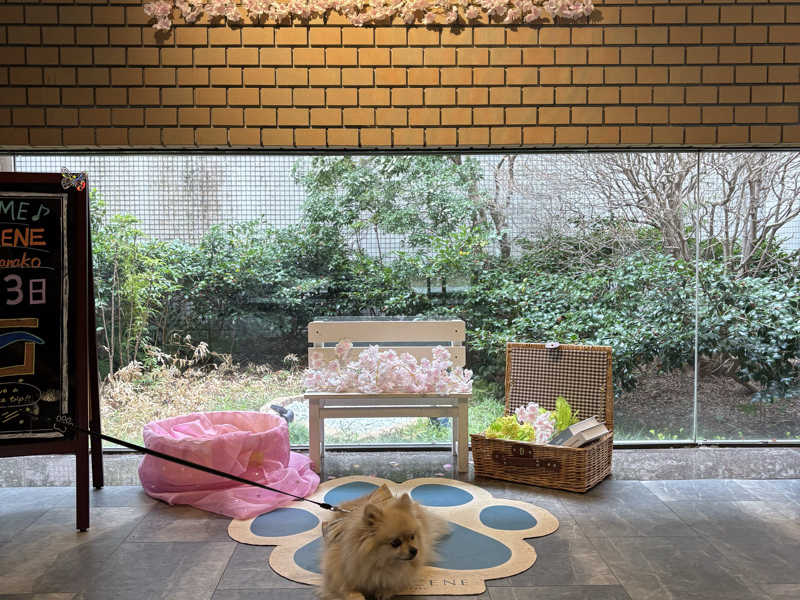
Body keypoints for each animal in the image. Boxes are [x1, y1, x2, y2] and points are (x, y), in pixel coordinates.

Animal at [319, 484, 449, 600]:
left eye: (412, 537)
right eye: (396, 543)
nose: (414, 550)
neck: (378, 565)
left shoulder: (402, 576)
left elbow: (395, 583)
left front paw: (384, 592)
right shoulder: (336, 578)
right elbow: (347, 591)